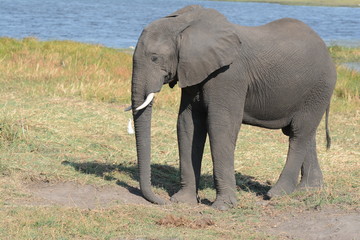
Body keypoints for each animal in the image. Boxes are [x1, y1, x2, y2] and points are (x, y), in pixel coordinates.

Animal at [125, 4, 336, 210]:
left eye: (154, 58)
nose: (162, 201)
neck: (185, 24)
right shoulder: (193, 71)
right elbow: (188, 124)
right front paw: (183, 201)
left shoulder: (229, 75)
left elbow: (220, 126)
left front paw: (222, 207)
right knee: (304, 133)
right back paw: (308, 189)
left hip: (319, 88)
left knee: (299, 133)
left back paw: (276, 194)